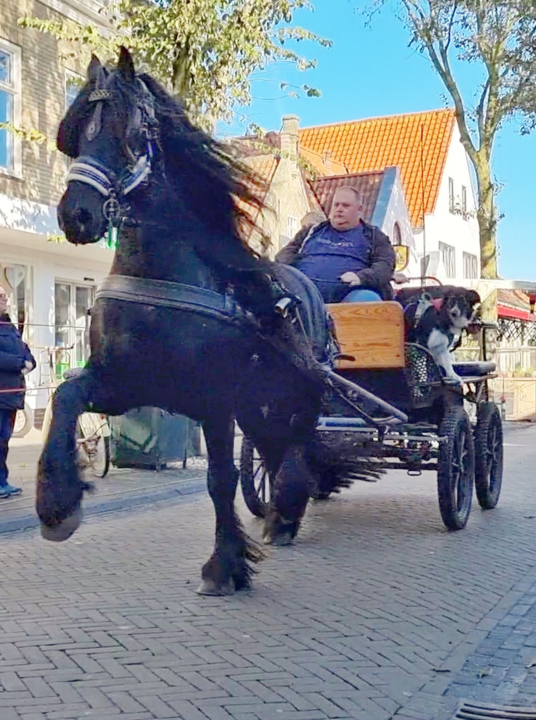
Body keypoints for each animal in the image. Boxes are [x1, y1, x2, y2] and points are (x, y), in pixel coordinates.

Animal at [37, 49, 332, 596]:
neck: (159, 276)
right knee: (274, 449)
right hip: (259, 406)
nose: (76, 214)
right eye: (77, 133)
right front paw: (57, 504)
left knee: (296, 450)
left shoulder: (215, 402)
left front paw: (225, 565)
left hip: (295, 398)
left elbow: (220, 480)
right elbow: (64, 396)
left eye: (131, 130)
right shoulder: (124, 384)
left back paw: (285, 516)